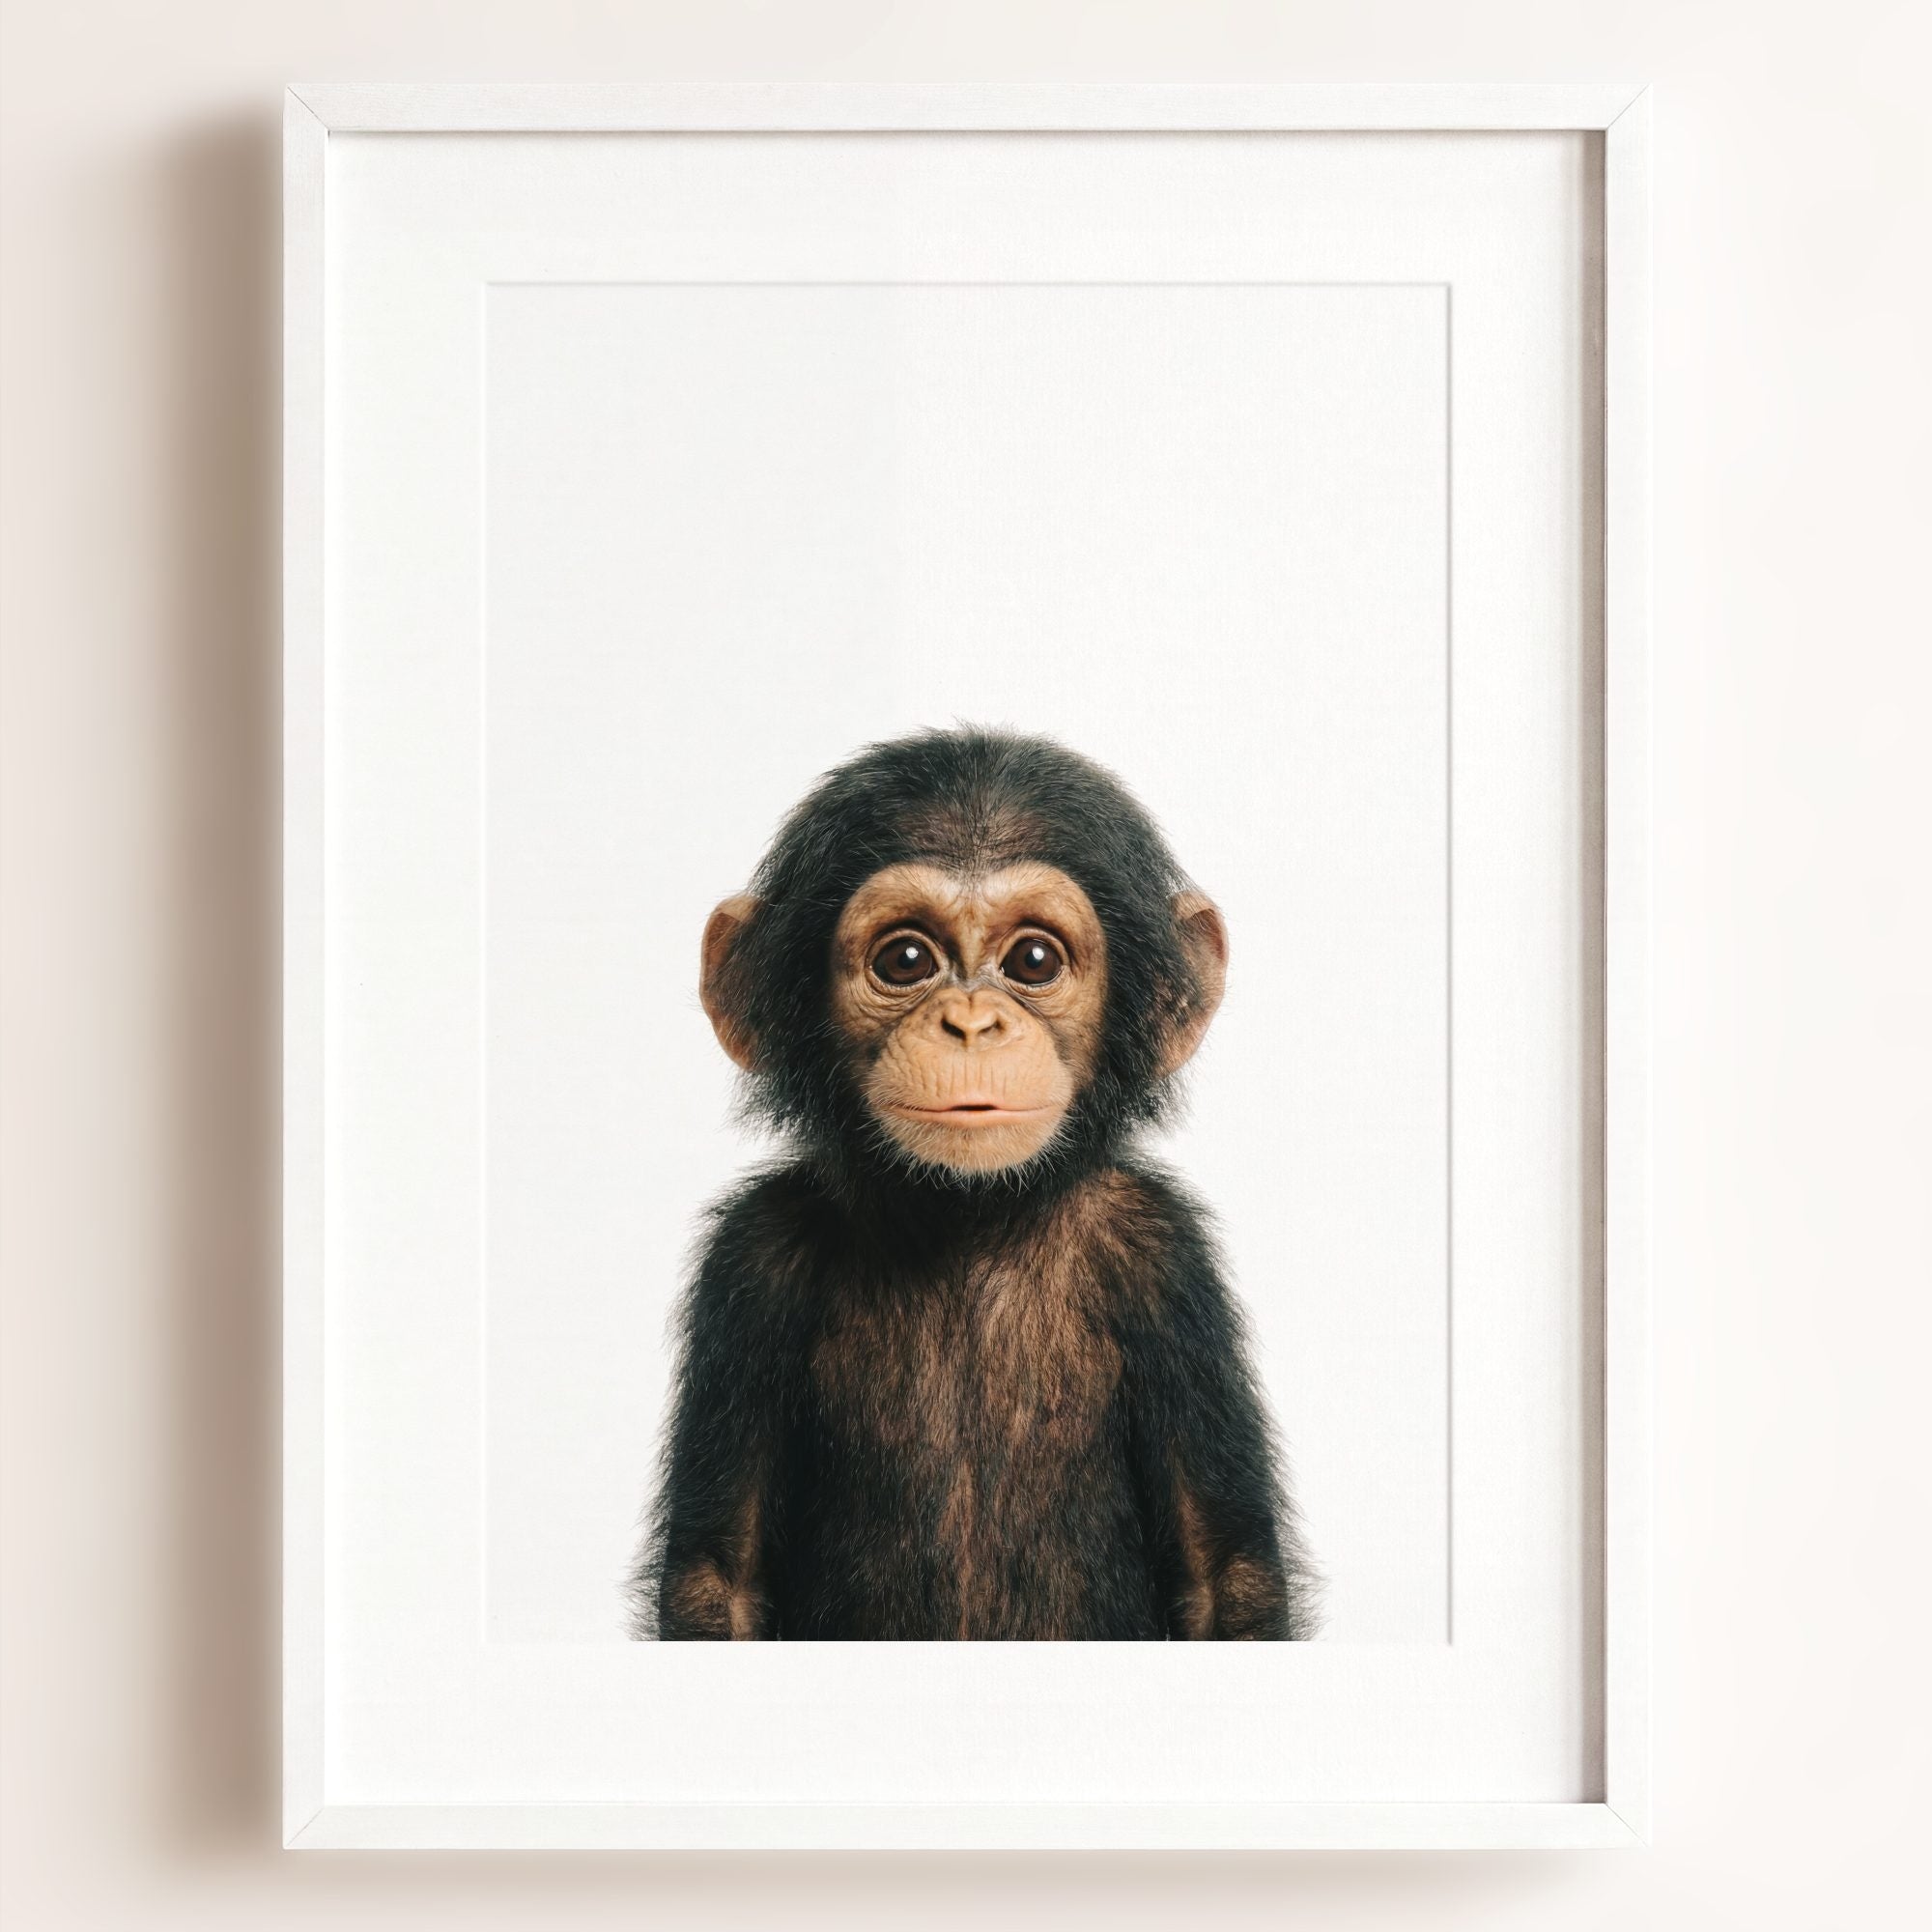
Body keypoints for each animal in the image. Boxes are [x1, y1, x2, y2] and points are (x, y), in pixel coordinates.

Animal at [631, 726, 1317, 1641]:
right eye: (905, 959)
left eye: (1033, 959)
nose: (970, 1023)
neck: (968, 1218)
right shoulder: (751, 1260)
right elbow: (718, 1579)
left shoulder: (1166, 1257)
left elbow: (1226, 1576)